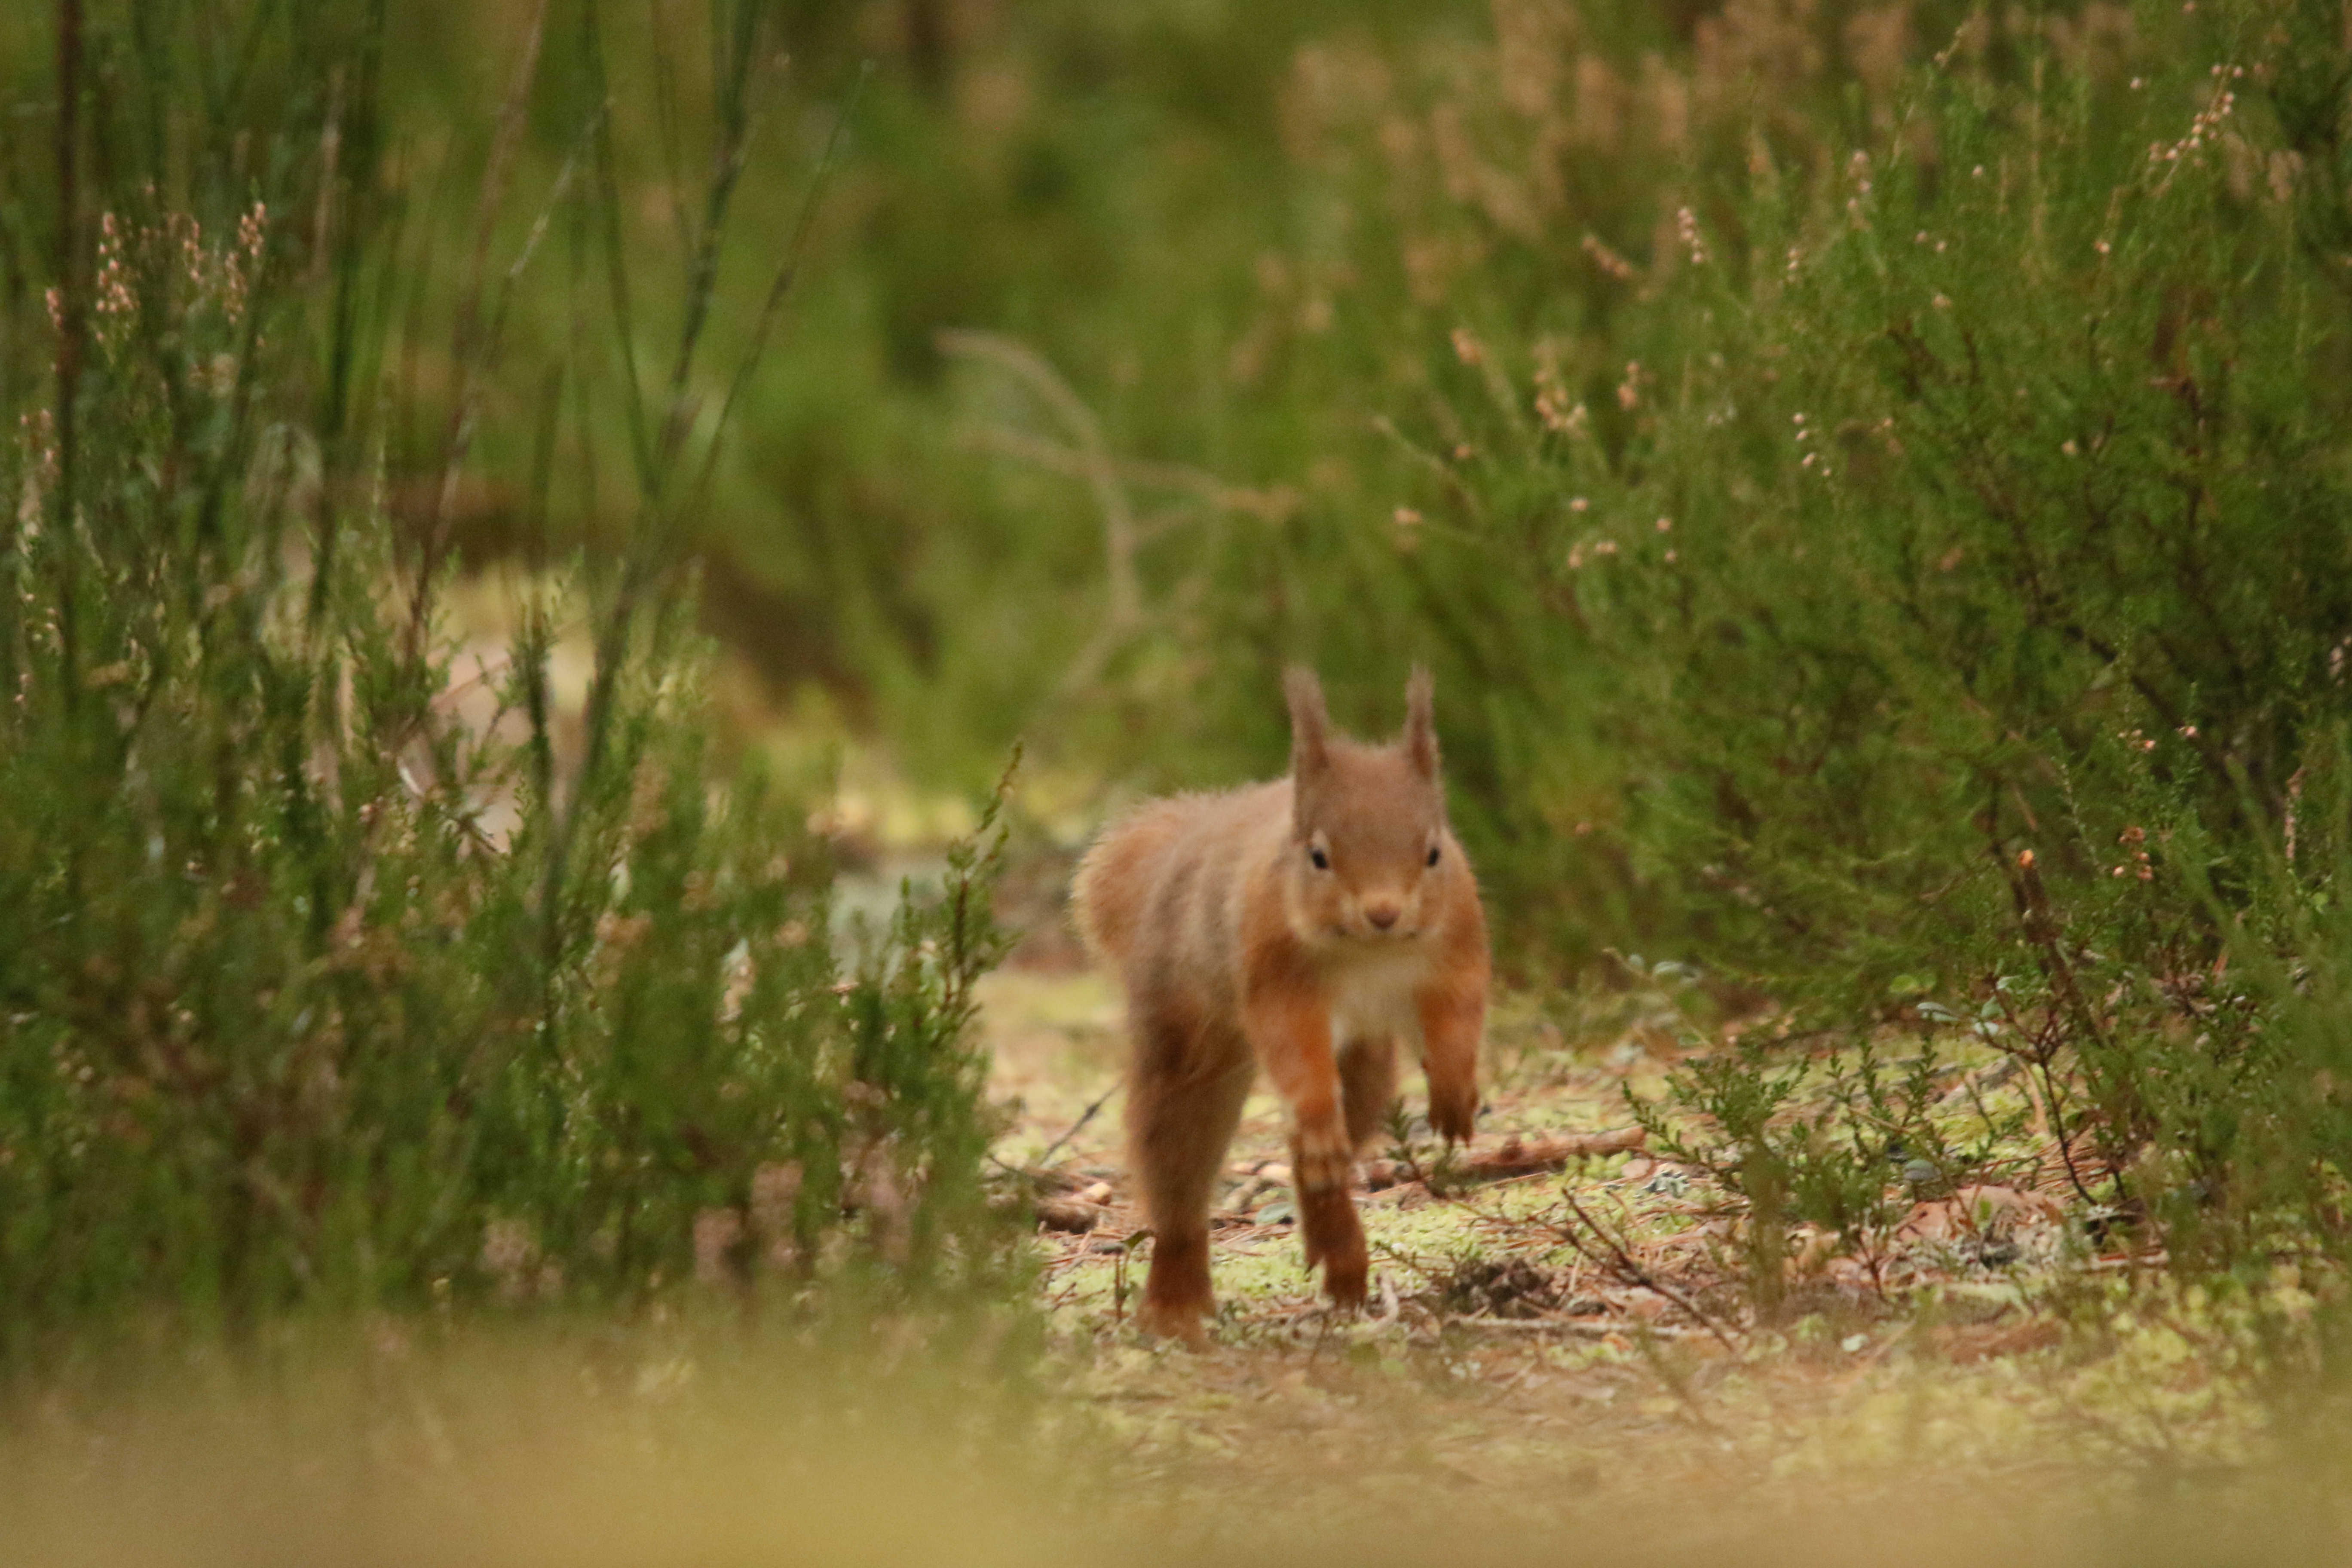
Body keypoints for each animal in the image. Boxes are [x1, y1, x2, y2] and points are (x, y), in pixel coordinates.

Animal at [1072, 668, 1486, 1344]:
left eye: (1434, 852)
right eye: (1317, 855)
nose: (1383, 912)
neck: (1368, 953)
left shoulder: (1457, 949)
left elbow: (1460, 1016)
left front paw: (1454, 1097)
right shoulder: (1276, 975)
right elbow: (1293, 1048)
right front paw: (1319, 1116)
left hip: (1366, 1066)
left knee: (1331, 1139)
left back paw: (1334, 1243)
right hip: (1188, 1035)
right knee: (1179, 1170)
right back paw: (1178, 1301)